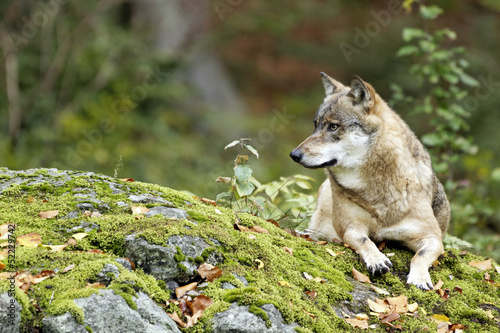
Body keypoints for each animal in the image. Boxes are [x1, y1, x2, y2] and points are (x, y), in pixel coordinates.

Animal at [290, 72, 450, 288]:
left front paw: (419, 278)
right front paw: (377, 260)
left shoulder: (432, 237)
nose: (294, 155)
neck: (377, 192)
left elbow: (420, 255)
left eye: (333, 126)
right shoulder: (350, 227)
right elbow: (365, 241)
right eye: (316, 125)